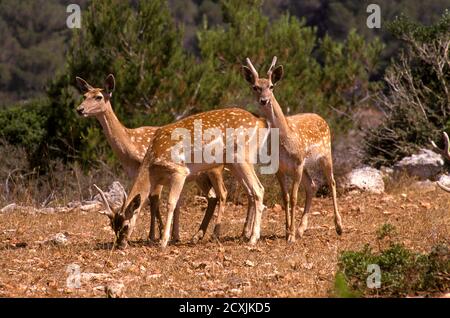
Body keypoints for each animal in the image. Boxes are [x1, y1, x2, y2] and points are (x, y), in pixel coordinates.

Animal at [76, 75, 229, 243]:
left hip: (214, 170)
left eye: (99, 96)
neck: (130, 149)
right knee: (213, 196)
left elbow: (154, 201)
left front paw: (155, 235)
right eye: (84, 96)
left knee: (222, 194)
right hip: (200, 175)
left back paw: (214, 234)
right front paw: (166, 235)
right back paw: (198, 235)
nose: (79, 109)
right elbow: (151, 201)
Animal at [241, 57, 342, 242]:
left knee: (331, 182)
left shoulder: (297, 164)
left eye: (271, 86)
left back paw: (339, 227)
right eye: (255, 87)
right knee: (312, 185)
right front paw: (288, 231)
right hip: (306, 165)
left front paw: (291, 236)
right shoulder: (279, 168)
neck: (284, 141)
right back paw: (302, 228)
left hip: (325, 155)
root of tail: (321, 118)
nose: (264, 100)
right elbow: (285, 198)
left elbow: (294, 198)